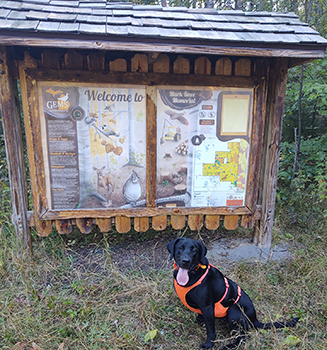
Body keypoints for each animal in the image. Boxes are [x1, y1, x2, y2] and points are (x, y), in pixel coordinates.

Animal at [169, 237, 300, 348]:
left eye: (194, 250)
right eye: (180, 247)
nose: (185, 261)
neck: (192, 275)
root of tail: (255, 319)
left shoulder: (207, 307)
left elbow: (211, 330)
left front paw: (209, 345)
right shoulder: (203, 308)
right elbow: (201, 315)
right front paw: (199, 320)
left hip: (233, 311)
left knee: (243, 337)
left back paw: (230, 346)